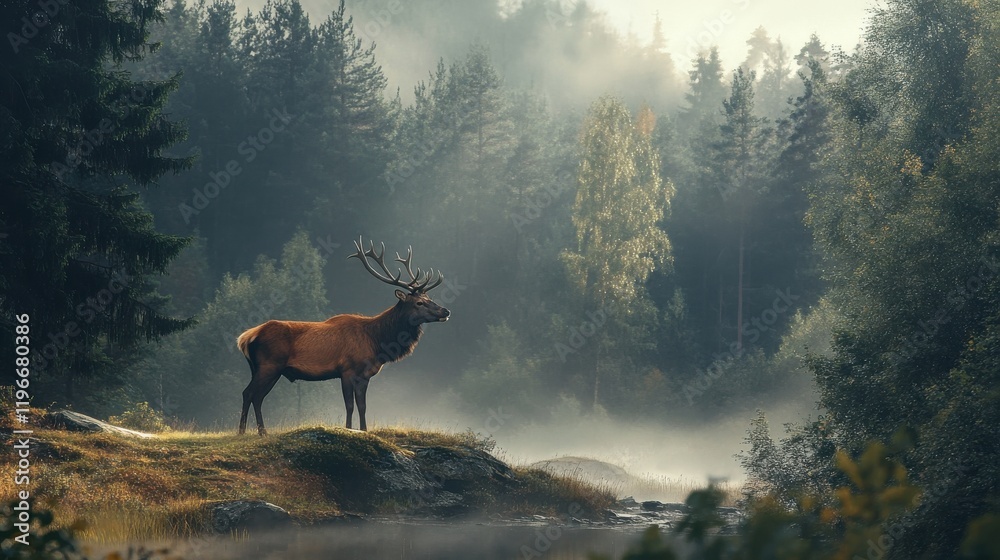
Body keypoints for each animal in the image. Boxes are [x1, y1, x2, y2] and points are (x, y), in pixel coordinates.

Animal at [235, 238, 451, 435]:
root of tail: (245, 338)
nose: (445, 311)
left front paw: (364, 430)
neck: (377, 342)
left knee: (257, 396)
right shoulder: (347, 369)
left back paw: (259, 432)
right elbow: (349, 405)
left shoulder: (365, 375)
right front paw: (348, 428)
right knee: (249, 393)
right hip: (269, 365)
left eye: (429, 298)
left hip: (263, 368)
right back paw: (246, 432)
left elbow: (362, 406)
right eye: (419, 303)